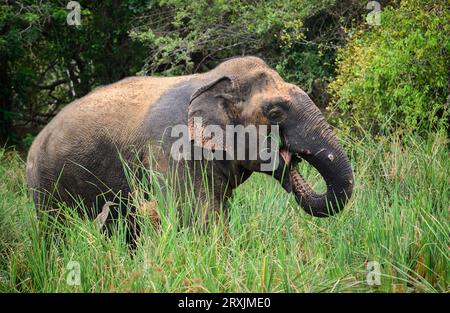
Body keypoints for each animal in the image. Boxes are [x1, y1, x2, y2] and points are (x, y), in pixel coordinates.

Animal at [26, 56, 356, 234]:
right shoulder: (172, 146)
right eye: (275, 113)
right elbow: (198, 215)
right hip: (44, 184)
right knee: (56, 231)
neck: (211, 80)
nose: (289, 156)